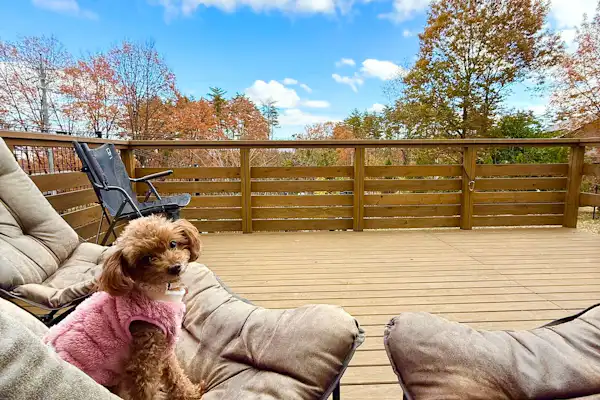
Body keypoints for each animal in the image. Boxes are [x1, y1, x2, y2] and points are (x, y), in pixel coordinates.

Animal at [44, 216, 204, 400]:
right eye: (147, 258)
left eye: (173, 243)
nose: (175, 267)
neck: (158, 292)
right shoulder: (146, 353)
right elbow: (146, 387)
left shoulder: (163, 347)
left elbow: (175, 374)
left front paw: (191, 393)